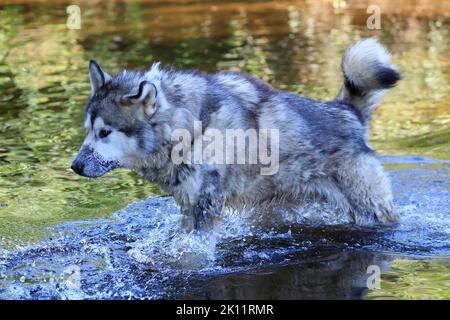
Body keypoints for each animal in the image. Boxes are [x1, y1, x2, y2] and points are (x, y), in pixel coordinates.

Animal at [71, 38, 400, 231]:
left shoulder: (206, 206)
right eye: (88, 131)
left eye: (104, 132)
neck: (192, 128)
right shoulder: (189, 205)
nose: (74, 166)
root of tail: (347, 111)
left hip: (370, 207)